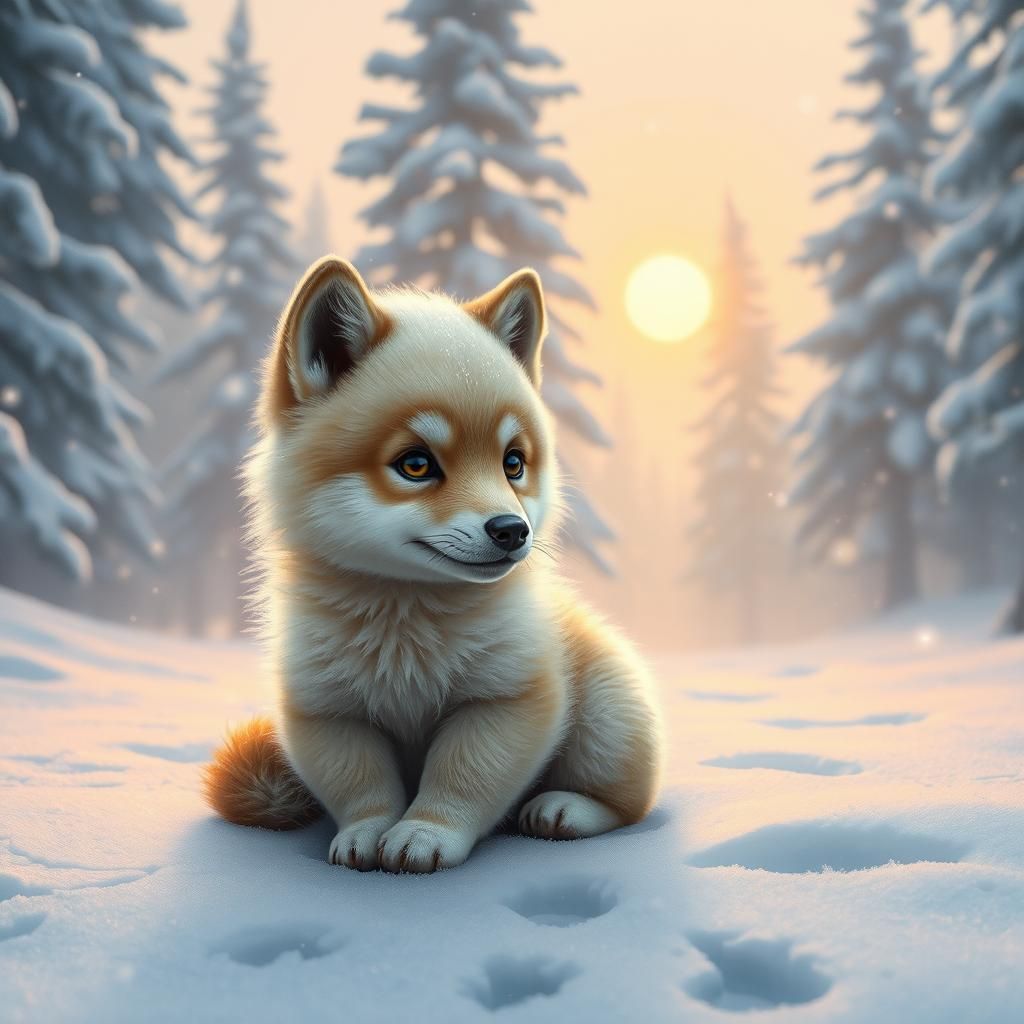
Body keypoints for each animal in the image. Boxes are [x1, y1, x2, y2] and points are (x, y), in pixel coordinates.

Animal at [203, 256, 662, 873]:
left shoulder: (507, 698)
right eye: (416, 465)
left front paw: (425, 834)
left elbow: (463, 775)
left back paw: (564, 808)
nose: (512, 530)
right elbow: (361, 785)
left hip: (608, 719)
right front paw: (366, 834)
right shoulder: (328, 711)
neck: (406, 625)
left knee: (627, 801)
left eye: (513, 463)